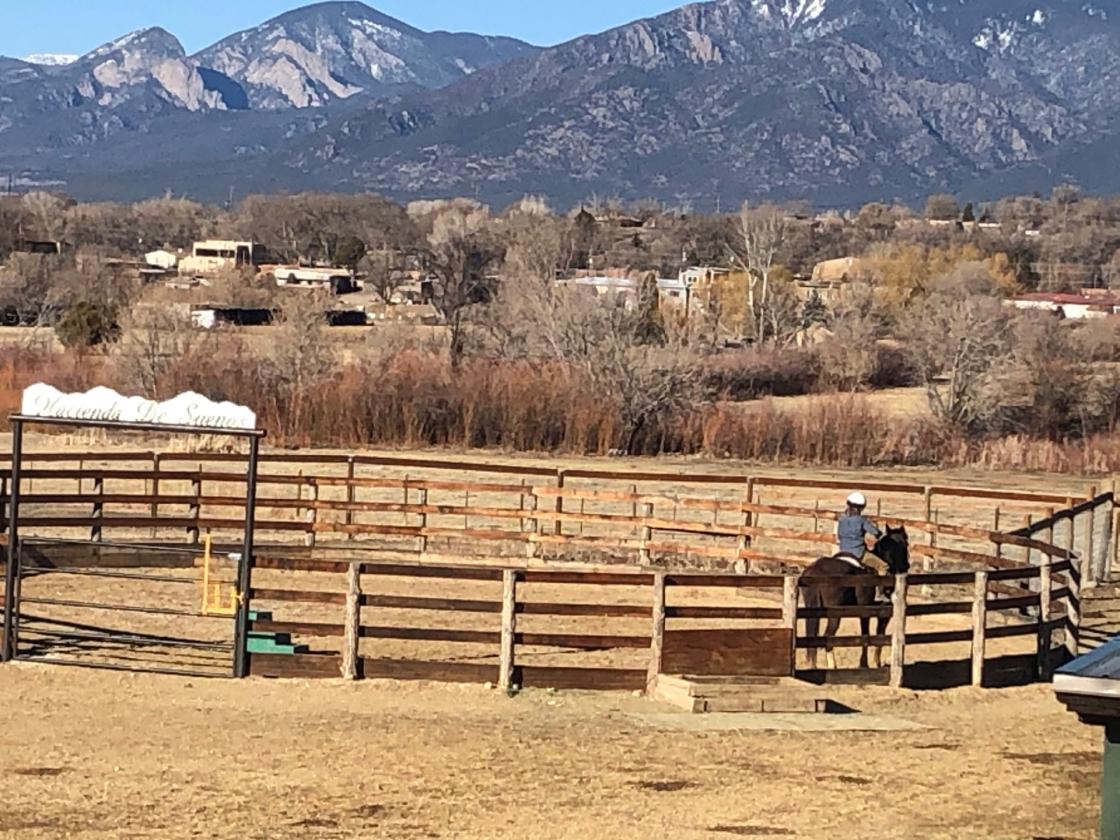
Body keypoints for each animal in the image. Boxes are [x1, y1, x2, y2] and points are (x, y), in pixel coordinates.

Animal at [799, 527, 911, 671]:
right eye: (905, 544)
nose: (906, 566)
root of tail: (815, 571)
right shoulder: (874, 612)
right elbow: (870, 635)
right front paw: (869, 663)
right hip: (834, 615)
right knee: (827, 637)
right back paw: (832, 666)